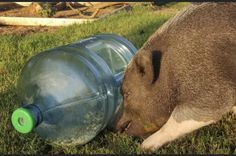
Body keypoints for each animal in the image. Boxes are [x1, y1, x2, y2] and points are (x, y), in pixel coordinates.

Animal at [115, 1, 236, 152]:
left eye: (127, 93)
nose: (116, 127)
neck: (170, 69)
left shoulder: (211, 87)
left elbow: (180, 117)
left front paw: (144, 147)